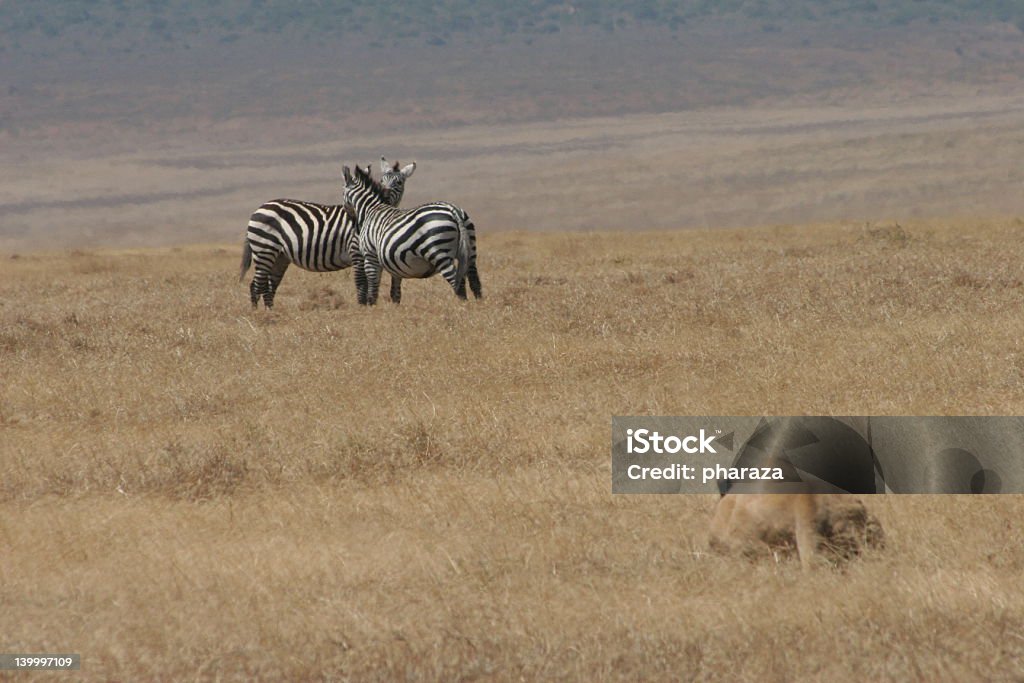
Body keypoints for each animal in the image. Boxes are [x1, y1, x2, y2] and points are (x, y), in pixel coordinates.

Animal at [239, 157, 415, 307]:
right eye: (382, 180)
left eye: (399, 182)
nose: (385, 193)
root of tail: (260, 207)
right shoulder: (357, 252)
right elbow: (362, 284)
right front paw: (363, 308)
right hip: (264, 249)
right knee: (256, 285)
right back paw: (257, 314)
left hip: (280, 256)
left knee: (269, 286)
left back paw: (270, 311)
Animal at [342, 162, 481, 305]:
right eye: (381, 181)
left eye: (342, 193)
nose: (353, 222)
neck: (371, 209)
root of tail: (452, 209)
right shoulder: (393, 263)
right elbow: (395, 292)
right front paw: (395, 307)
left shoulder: (370, 256)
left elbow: (373, 288)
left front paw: (372, 307)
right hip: (470, 249)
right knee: (474, 280)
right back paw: (478, 305)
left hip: (440, 253)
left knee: (457, 282)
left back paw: (462, 306)